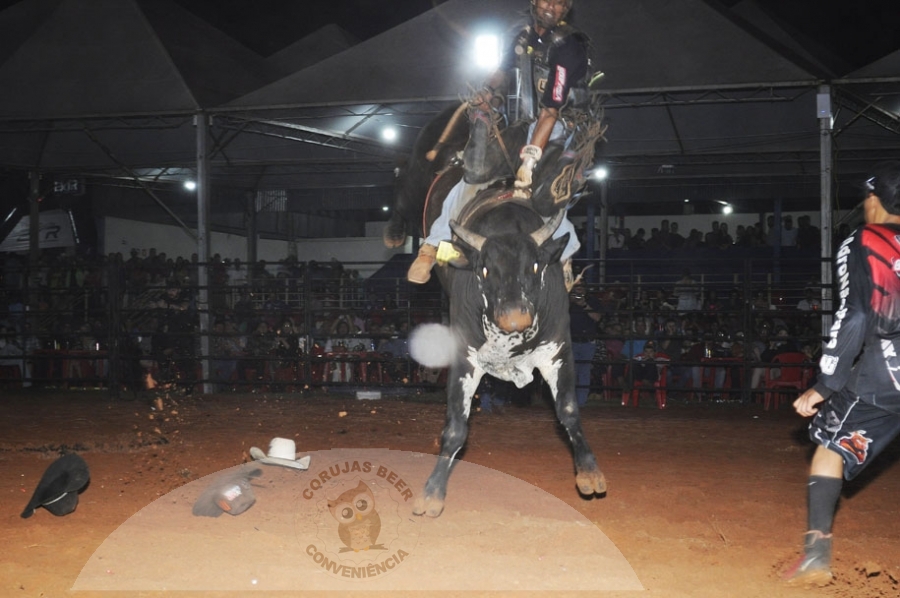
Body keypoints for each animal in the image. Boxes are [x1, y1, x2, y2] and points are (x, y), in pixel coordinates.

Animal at [392, 106, 608, 516]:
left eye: (536, 267)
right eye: (485, 270)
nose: (514, 318)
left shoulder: (559, 349)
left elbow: (569, 410)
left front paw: (589, 472)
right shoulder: (465, 355)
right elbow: (456, 426)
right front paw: (432, 492)